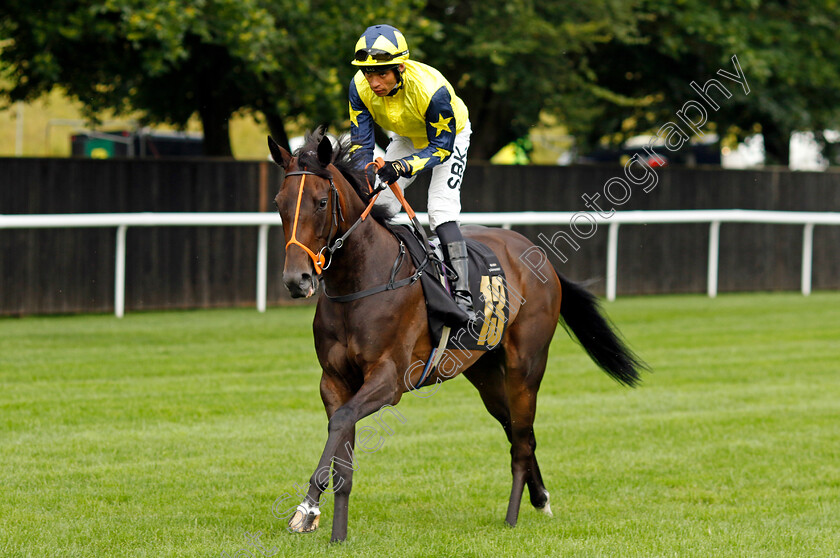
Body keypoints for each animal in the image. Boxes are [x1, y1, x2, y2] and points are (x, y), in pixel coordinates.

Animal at [266, 130, 648, 544]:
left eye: (321, 202)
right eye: (279, 204)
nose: (297, 279)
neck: (362, 282)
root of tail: (537, 254)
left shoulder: (389, 379)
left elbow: (342, 422)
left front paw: (306, 509)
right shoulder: (335, 380)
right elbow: (343, 442)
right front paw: (332, 527)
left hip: (526, 367)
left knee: (523, 439)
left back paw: (514, 515)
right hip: (484, 371)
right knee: (514, 429)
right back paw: (540, 498)